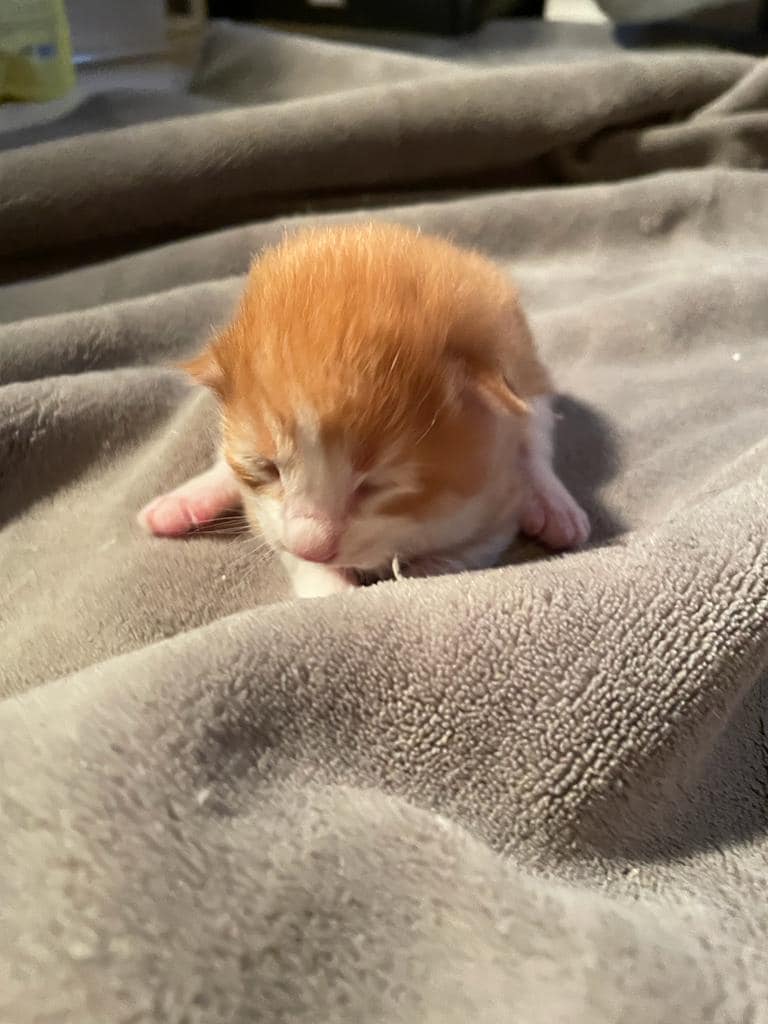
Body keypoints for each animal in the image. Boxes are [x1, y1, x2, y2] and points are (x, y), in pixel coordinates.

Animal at [138, 223, 589, 598]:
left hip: (526, 370)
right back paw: (182, 502)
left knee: (536, 440)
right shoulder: (267, 513)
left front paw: (420, 570)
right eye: (266, 468)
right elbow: (287, 545)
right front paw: (327, 587)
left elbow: (460, 556)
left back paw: (554, 506)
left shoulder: (495, 507)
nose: (313, 546)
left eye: (375, 485)